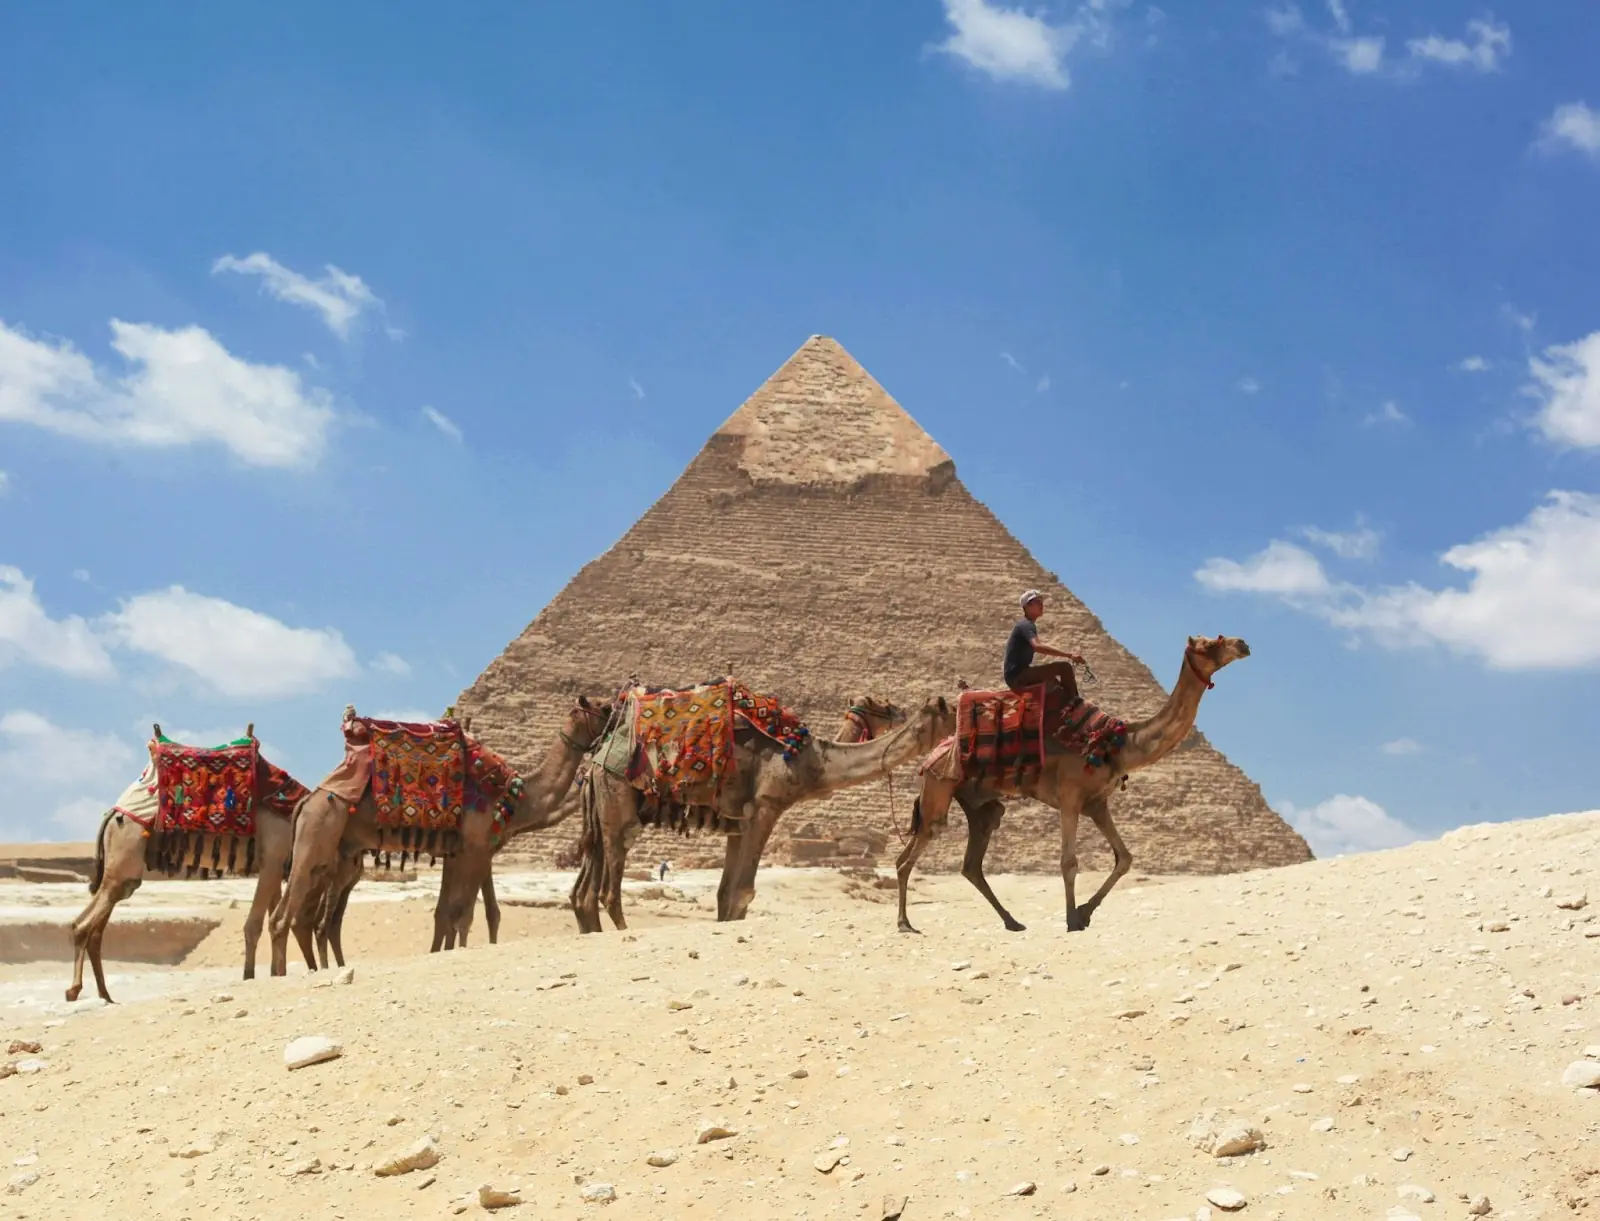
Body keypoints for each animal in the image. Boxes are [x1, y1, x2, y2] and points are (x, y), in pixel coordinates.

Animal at [65, 726, 307, 1003]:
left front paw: (277, 973)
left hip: (121, 872)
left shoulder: (275, 867)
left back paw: (105, 995)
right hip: (124, 857)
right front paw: (249, 976)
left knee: (96, 929)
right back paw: (74, 990)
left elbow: (274, 921)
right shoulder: (272, 860)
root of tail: (112, 815)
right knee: (83, 924)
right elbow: (255, 925)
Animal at [269, 697, 612, 976]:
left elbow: (447, 913)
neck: (519, 796)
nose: (617, 708)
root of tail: (308, 800)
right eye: (603, 707)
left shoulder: (458, 853)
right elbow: (465, 915)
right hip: (316, 838)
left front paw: (439, 953)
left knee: (309, 920)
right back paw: (283, 974)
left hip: (333, 857)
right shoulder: (475, 850)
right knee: (286, 918)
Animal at [571, 691, 953, 933]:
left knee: (584, 893)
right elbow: (744, 892)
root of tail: (595, 765)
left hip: (599, 816)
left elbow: (726, 894)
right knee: (608, 887)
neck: (809, 760)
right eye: (884, 706)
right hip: (618, 806)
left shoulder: (737, 825)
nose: (900, 712)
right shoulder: (765, 808)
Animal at [894, 635, 1251, 936]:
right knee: (912, 852)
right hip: (940, 787)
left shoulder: (1096, 803)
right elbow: (1069, 862)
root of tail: (932, 757)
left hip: (982, 804)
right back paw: (905, 924)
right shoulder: (1070, 797)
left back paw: (1012, 922)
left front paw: (1084, 912)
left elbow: (1125, 857)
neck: (1116, 742)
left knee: (970, 862)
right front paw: (1071, 920)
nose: (1243, 644)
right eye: (1209, 643)